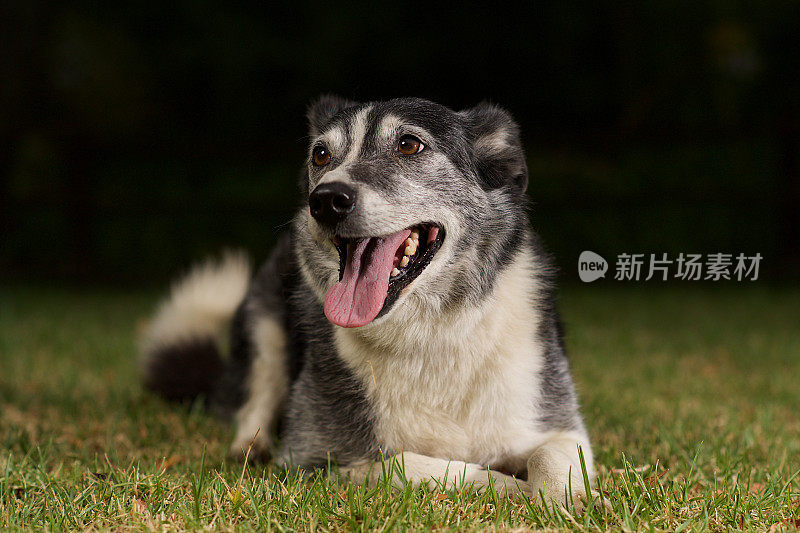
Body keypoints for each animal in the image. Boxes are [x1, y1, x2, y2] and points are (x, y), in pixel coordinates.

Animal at [141, 94, 596, 502]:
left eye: (408, 145)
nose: (326, 200)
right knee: (257, 394)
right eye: (321, 154)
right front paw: (507, 486)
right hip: (263, 323)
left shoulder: (559, 425)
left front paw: (567, 499)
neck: (426, 332)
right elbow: (406, 464)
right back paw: (250, 449)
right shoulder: (307, 461)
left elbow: (553, 455)